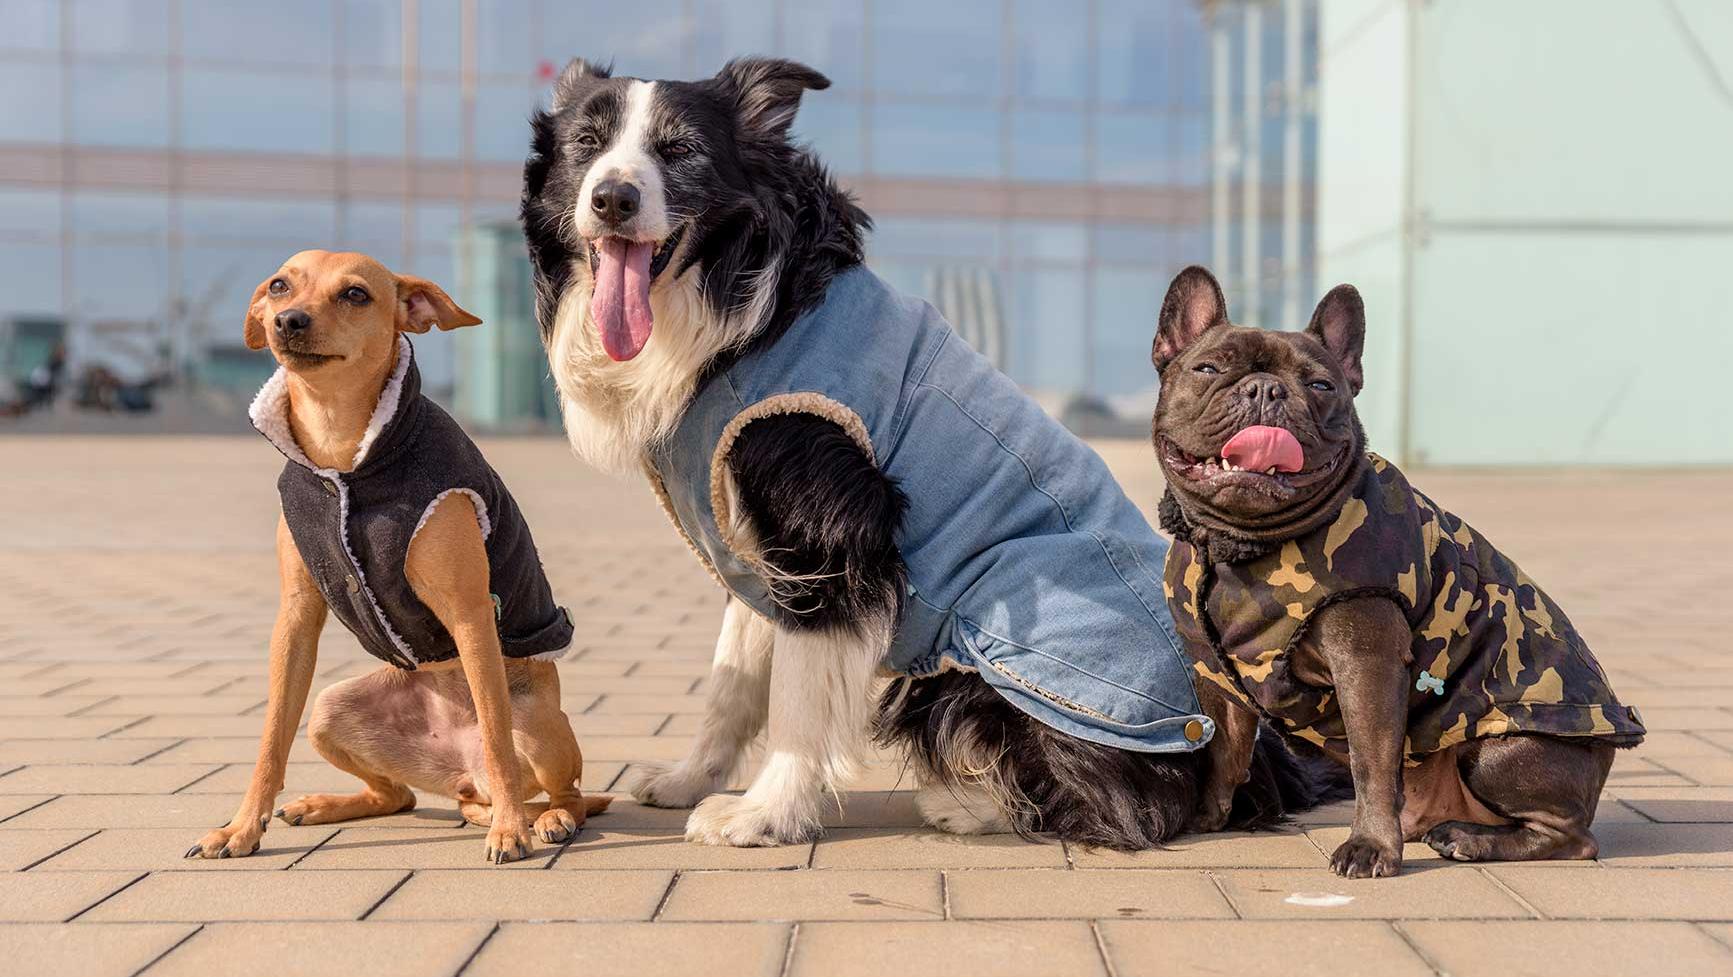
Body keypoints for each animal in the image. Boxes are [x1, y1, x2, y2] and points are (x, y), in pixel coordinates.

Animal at [188, 249, 610, 862]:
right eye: (279, 285)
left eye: (356, 294)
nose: (288, 320)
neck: (342, 454)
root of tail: (464, 776)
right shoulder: (296, 616)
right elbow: (271, 738)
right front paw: (242, 827)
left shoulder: (470, 612)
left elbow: (496, 732)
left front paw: (511, 831)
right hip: (330, 711)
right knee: (400, 796)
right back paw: (324, 805)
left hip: (536, 722)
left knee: (562, 787)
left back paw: (546, 818)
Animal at [512, 59, 1324, 848]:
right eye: (585, 145)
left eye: (680, 150)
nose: (612, 199)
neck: (741, 306)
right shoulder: (749, 538)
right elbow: (732, 676)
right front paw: (688, 780)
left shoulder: (826, 526)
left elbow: (797, 692)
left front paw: (765, 815)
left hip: (990, 666)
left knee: (1142, 806)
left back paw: (969, 806)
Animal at [1150, 265, 1635, 876]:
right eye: (1209, 369)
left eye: (1321, 386)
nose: (1265, 389)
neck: (1241, 546)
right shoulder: (1213, 670)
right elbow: (1222, 750)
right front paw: (1205, 819)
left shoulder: (1368, 663)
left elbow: (1371, 762)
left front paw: (1372, 846)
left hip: (1501, 750)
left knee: (1572, 836)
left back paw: (1471, 840)